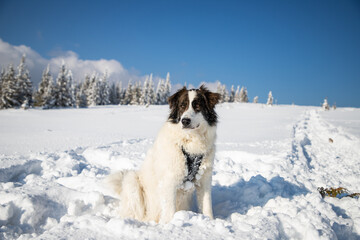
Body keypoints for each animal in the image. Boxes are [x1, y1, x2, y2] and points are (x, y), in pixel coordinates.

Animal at [107, 85, 219, 223]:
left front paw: (210, 221)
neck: (190, 141)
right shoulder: (169, 180)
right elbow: (169, 210)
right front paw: (169, 225)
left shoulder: (205, 179)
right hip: (131, 180)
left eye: (197, 106)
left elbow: (207, 206)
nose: (185, 121)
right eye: (182, 106)